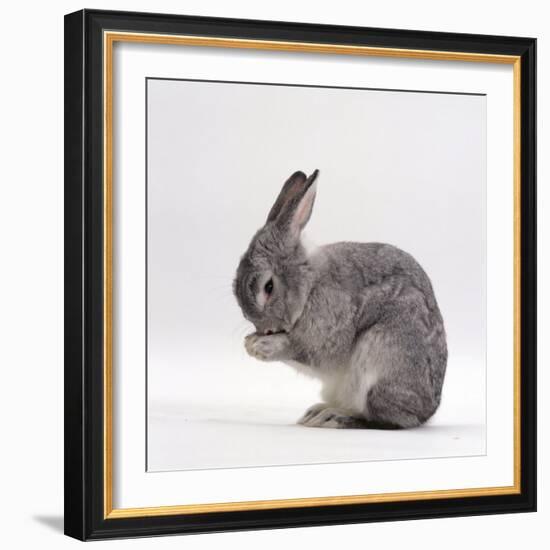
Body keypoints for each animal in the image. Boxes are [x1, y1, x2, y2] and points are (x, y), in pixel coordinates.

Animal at [233, 170, 448, 430]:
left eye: (269, 287)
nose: (265, 329)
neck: (310, 283)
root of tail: (427, 411)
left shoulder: (328, 333)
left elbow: (304, 351)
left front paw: (260, 346)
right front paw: (250, 342)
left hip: (381, 362)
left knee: (382, 419)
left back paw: (334, 417)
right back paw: (316, 413)